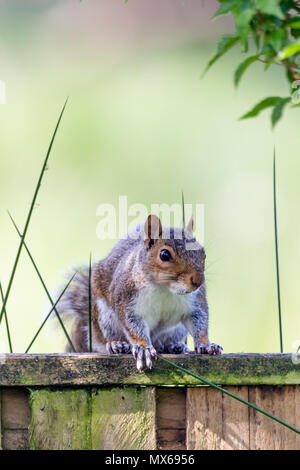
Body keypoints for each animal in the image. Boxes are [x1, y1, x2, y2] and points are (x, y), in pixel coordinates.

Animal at [57, 214, 223, 370]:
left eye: (203, 253)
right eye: (164, 255)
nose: (198, 281)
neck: (165, 288)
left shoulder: (195, 302)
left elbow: (200, 322)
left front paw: (207, 345)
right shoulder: (126, 297)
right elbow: (132, 325)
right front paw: (144, 348)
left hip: (176, 330)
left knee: (162, 342)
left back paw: (174, 346)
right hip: (105, 318)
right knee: (105, 339)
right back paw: (116, 344)